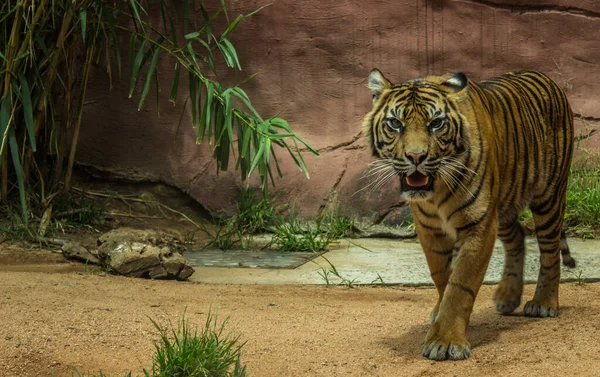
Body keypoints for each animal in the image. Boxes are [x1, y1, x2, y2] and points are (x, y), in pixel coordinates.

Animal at [360, 69, 576, 360]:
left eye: (436, 123)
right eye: (395, 123)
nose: (416, 157)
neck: (436, 190)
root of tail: (547, 77)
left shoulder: (478, 224)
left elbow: (460, 285)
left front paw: (445, 341)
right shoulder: (430, 229)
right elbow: (442, 277)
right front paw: (440, 315)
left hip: (548, 196)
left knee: (550, 252)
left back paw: (543, 303)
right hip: (504, 205)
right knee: (517, 238)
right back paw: (508, 297)